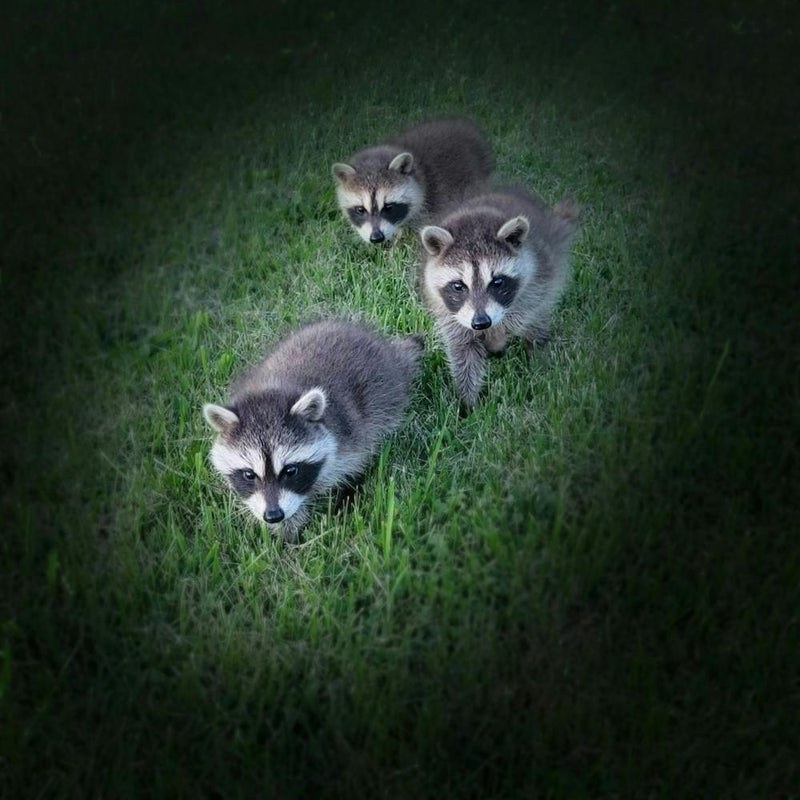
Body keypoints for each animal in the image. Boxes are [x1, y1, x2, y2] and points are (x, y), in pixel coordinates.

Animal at [203, 320, 423, 542]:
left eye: (290, 470)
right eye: (249, 474)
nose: (273, 515)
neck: (272, 392)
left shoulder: (351, 436)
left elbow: (356, 467)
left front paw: (346, 496)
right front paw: (286, 536)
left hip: (382, 396)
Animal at [421, 187, 579, 407]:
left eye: (497, 282)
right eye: (458, 286)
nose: (481, 323)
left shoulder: (537, 281)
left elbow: (523, 313)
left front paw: (498, 337)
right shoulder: (448, 311)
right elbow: (463, 351)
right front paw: (467, 402)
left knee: (536, 324)